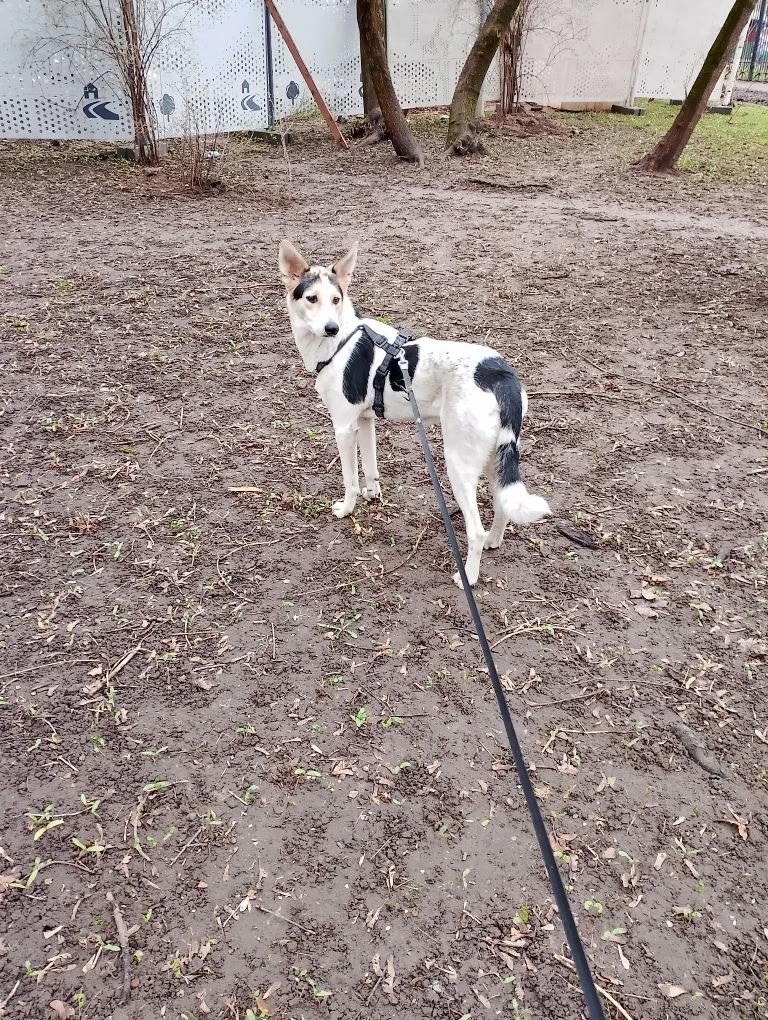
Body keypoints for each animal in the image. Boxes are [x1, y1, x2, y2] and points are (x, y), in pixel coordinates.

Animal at [278, 240, 550, 587]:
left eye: (335, 300)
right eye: (312, 298)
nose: (330, 328)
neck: (341, 341)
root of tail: (502, 376)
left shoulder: (343, 427)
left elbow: (350, 479)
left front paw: (347, 509)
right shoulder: (365, 421)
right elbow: (370, 468)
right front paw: (373, 495)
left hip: (458, 464)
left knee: (474, 531)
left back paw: (469, 576)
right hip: (494, 456)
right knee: (503, 505)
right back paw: (493, 540)